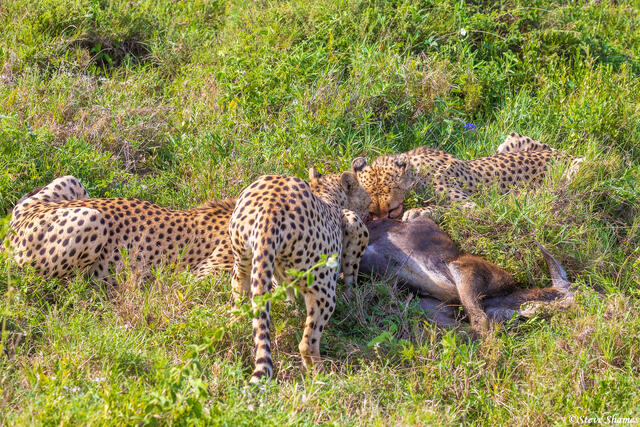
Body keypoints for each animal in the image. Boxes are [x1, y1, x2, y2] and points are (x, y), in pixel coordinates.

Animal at [228, 168, 370, 384]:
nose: (372, 209)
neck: (326, 193)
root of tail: (269, 209)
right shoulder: (352, 224)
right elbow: (350, 275)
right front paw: (352, 298)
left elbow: (287, 292)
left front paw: (291, 307)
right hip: (323, 292)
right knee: (307, 342)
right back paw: (321, 375)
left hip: (242, 262)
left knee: (237, 306)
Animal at [352, 133, 583, 221]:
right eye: (371, 212)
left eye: (392, 210)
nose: (382, 223)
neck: (416, 174)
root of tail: (566, 155)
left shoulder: (472, 205)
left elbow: (448, 208)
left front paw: (418, 211)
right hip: (511, 140)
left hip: (577, 168)